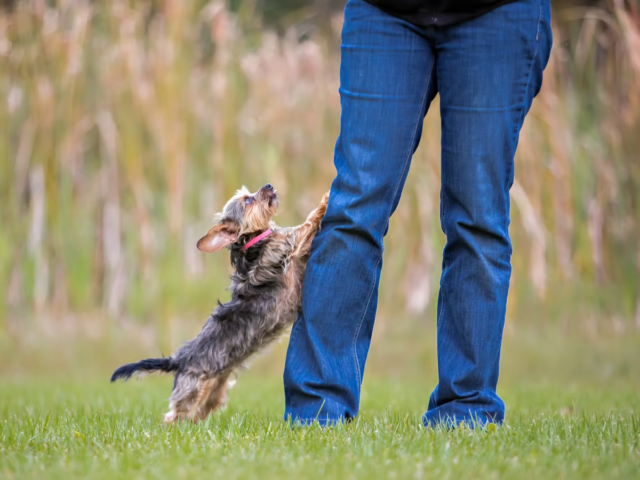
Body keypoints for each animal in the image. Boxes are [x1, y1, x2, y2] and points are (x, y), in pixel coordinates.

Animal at [110, 184, 328, 424]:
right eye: (248, 201)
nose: (268, 185)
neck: (253, 242)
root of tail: (178, 360)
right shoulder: (287, 245)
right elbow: (307, 222)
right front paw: (326, 200)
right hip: (192, 390)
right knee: (174, 416)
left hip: (215, 389)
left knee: (199, 413)